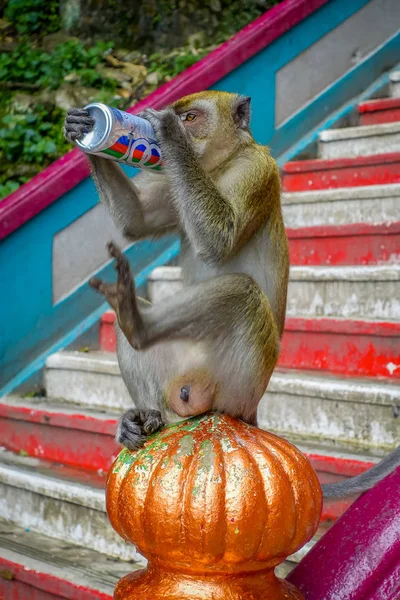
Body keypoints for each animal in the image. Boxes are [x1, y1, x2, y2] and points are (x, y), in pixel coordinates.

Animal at [64, 92, 398, 496]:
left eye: (190, 117)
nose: (175, 123)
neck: (217, 167)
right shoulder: (174, 180)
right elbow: (138, 219)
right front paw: (86, 129)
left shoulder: (257, 169)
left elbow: (220, 238)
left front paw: (167, 134)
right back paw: (146, 416)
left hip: (241, 382)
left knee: (242, 292)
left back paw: (138, 322)